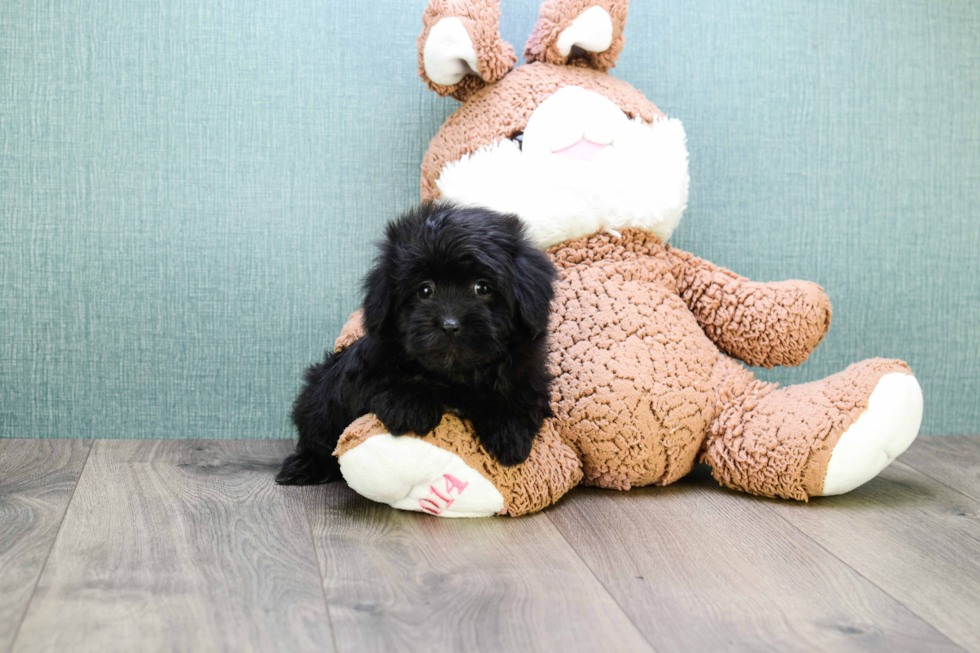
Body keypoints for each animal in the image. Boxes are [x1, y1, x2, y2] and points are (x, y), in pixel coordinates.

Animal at [276, 204, 560, 484]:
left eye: (483, 288)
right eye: (424, 290)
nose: (449, 325)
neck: (455, 376)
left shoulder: (528, 375)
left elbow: (519, 399)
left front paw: (510, 432)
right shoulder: (368, 369)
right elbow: (385, 382)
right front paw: (409, 406)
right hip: (318, 399)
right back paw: (305, 465)